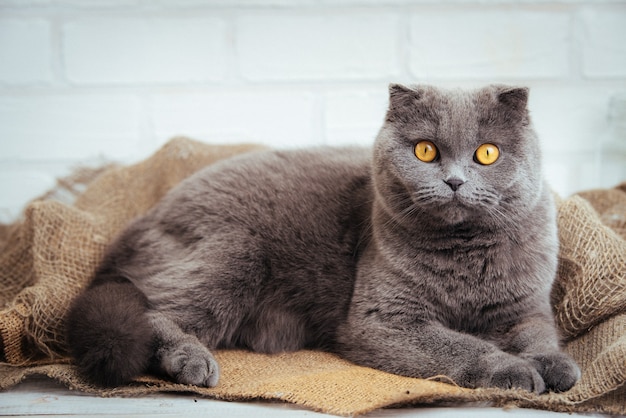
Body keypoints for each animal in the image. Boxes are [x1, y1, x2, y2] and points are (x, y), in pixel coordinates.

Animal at [66, 83, 576, 394]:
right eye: (425, 150)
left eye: (487, 153)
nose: (453, 181)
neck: (465, 254)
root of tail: (143, 218)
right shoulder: (382, 320)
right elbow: (463, 346)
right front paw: (512, 370)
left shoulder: (526, 306)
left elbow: (539, 334)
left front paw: (555, 366)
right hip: (234, 250)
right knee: (153, 311)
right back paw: (190, 361)